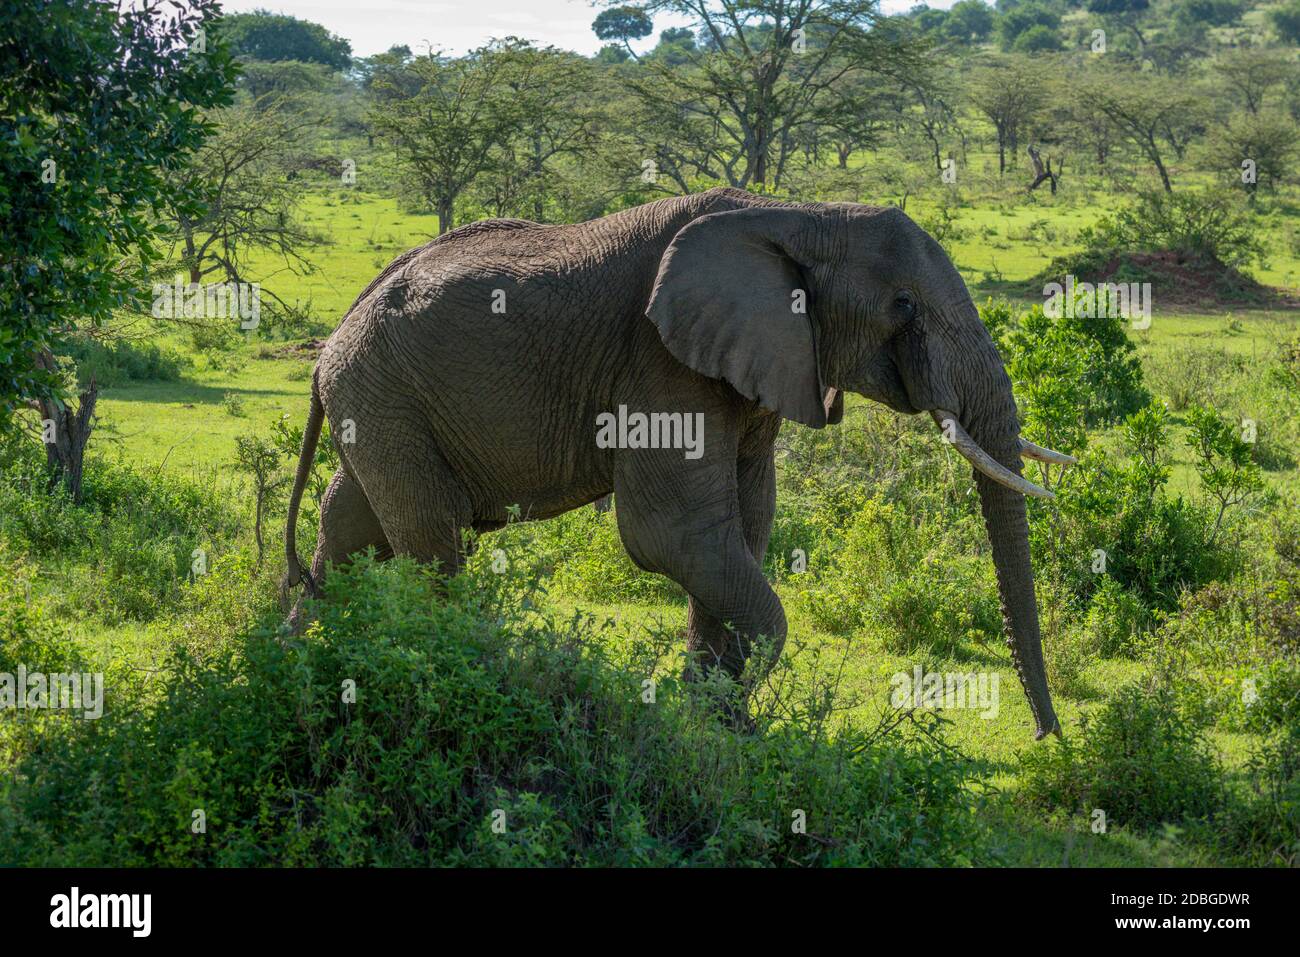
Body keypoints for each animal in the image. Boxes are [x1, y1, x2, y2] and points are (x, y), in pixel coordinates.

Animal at [284, 187, 1075, 739]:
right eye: (904, 306)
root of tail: (329, 345)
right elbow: (673, 535)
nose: (1047, 734)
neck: (803, 213)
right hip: (385, 394)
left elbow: (744, 528)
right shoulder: (661, 360)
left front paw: (716, 721)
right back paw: (461, 675)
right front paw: (717, 724)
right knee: (432, 542)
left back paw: (284, 659)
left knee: (348, 530)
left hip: (375, 404)